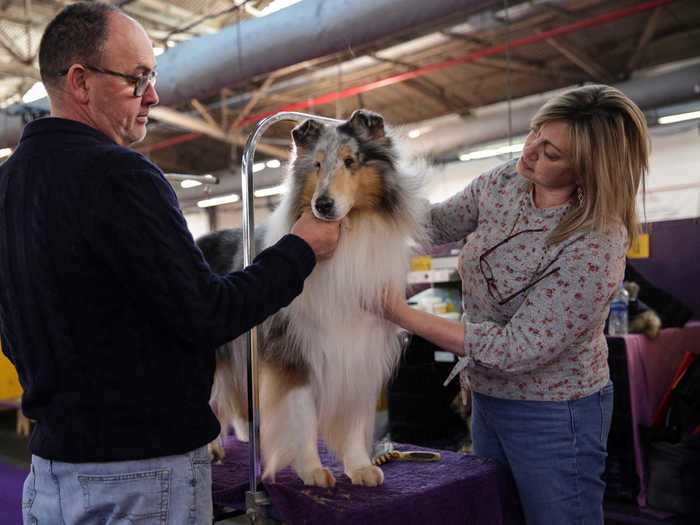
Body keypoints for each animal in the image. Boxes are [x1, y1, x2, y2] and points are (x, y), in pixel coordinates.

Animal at [198, 108, 426, 486]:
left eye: (350, 161)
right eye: (317, 164)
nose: (323, 204)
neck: (346, 236)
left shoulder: (359, 348)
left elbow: (352, 419)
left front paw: (360, 467)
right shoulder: (292, 351)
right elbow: (300, 413)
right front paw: (313, 471)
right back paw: (212, 450)